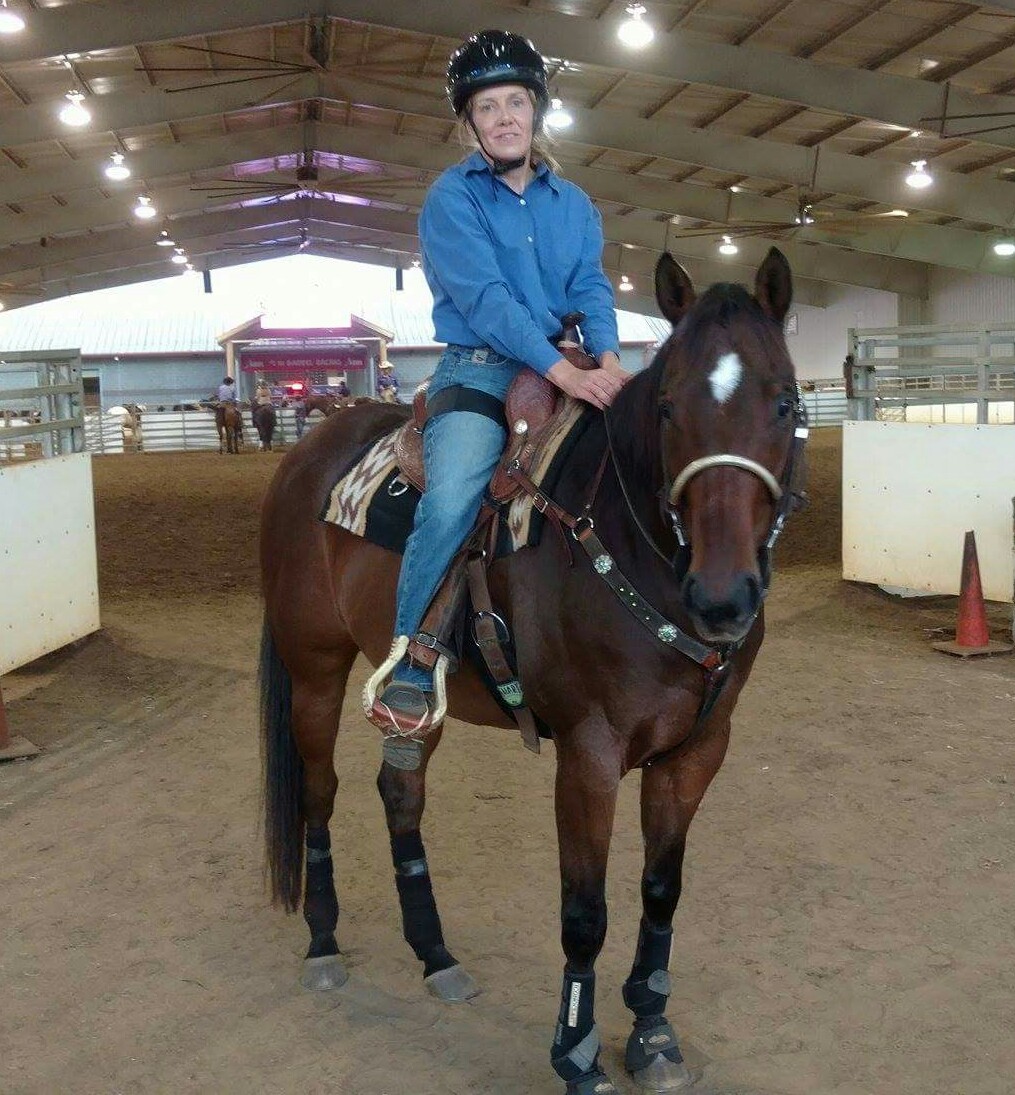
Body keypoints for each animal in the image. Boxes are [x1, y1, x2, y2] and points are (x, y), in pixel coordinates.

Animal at [258, 248, 804, 1094]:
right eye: (668, 406)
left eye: (783, 401)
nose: (722, 597)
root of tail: (308, 453)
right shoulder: (588, 754)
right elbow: (584, 912)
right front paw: (575, 1052)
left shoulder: (695, 751)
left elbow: (660, 891)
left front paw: (652, 1029)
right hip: (313, 666)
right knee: (321, 794)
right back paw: (322, 943)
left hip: (418, 695)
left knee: (399, 792)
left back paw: (436, 956)